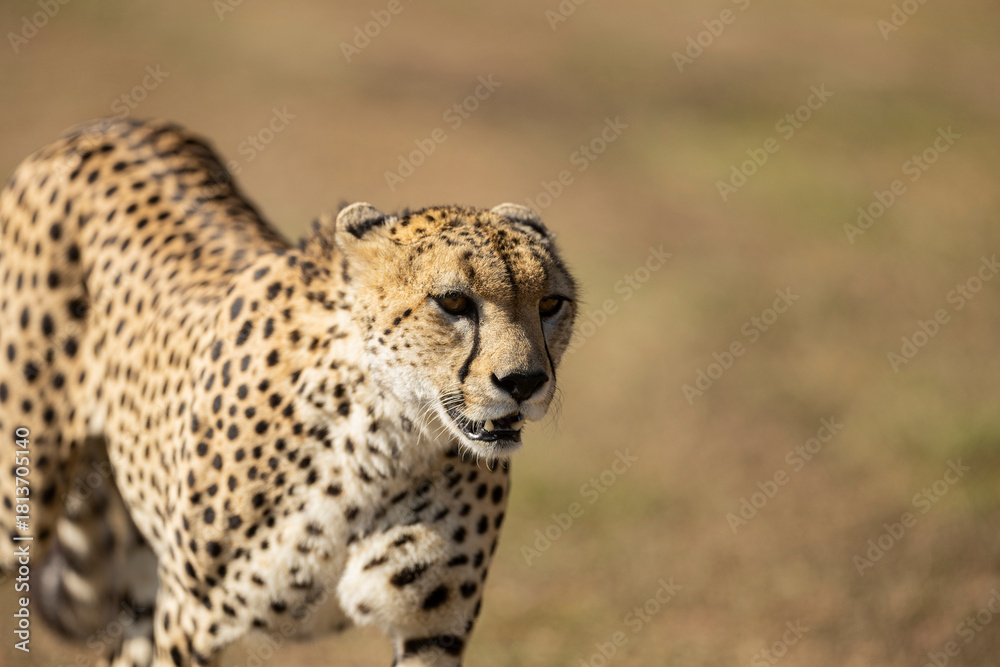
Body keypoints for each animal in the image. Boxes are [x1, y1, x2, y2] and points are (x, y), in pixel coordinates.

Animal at [0, 117, 577, 666]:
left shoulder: (432, 630)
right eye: (453, 301)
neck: (384, 438)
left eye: (551, 304)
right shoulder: (191, 619)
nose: (524, 382)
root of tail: (103, 127)